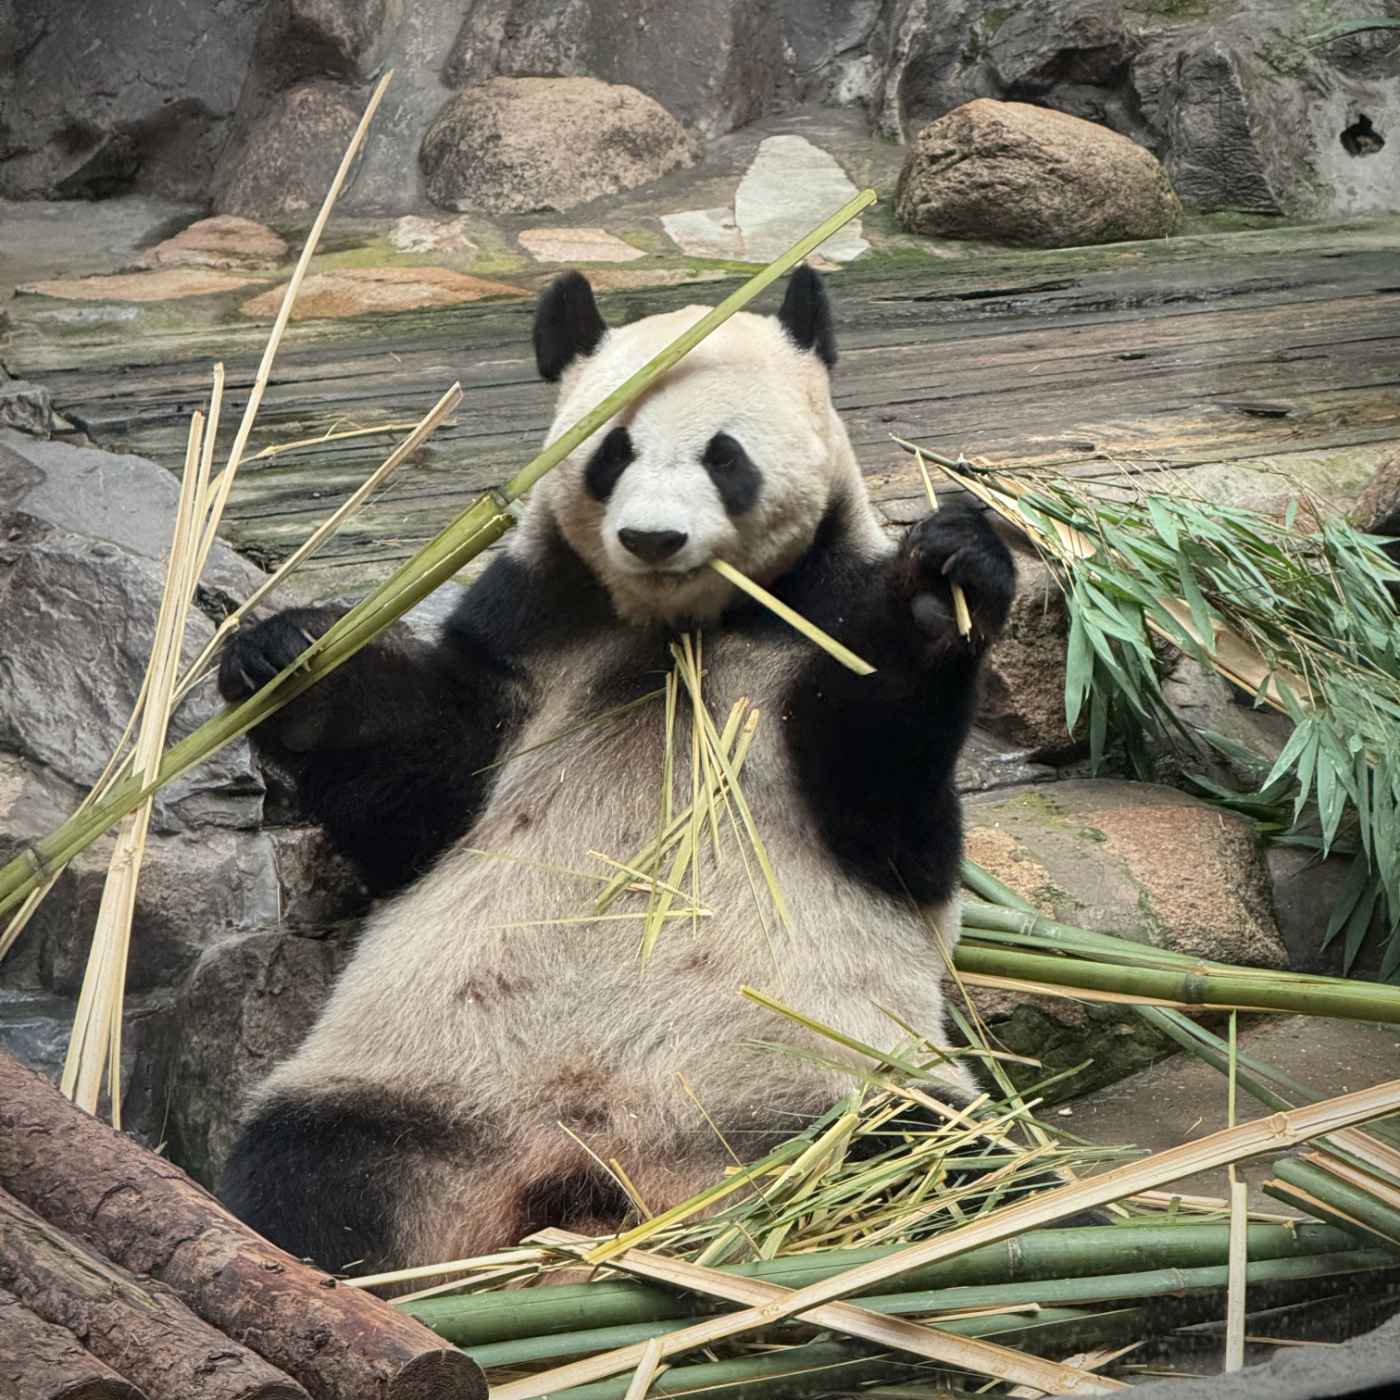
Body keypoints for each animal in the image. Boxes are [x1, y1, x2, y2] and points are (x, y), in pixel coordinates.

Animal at [217, 266, 1016, 1276]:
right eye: (612, 453)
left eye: (725, 457)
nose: (652, 539)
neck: (678, 628)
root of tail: (593, 1170)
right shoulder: (534, 633)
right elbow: (412, 782)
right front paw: (281, 656)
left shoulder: (817, 627)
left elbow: (892, 805)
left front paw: (940, 589)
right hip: (419, 1084)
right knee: (312, 1169)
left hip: (822, 1080)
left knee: (929, 1162)